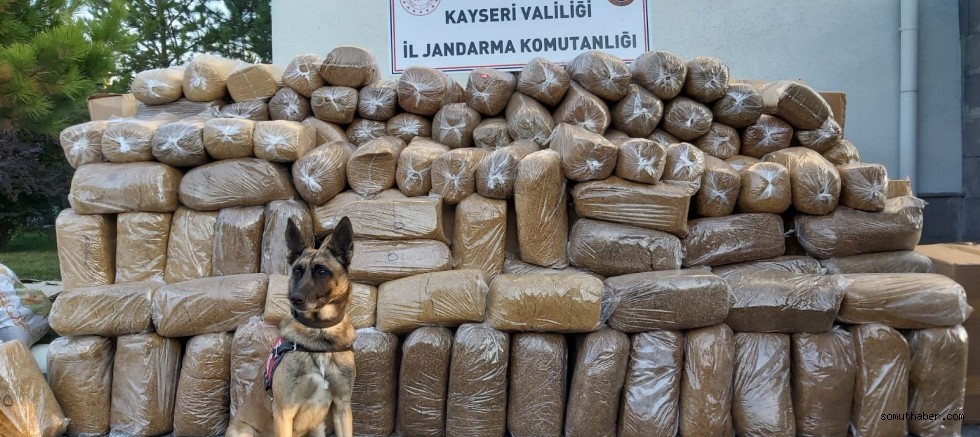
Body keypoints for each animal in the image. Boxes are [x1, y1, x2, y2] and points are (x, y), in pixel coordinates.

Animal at [226, 217, 357, 437]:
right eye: (297, 271)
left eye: (322, 271)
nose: (294, 299)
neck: (319, 334)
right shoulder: (284, 412)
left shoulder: (342, 407)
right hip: (245, 431)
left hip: (317, 429)